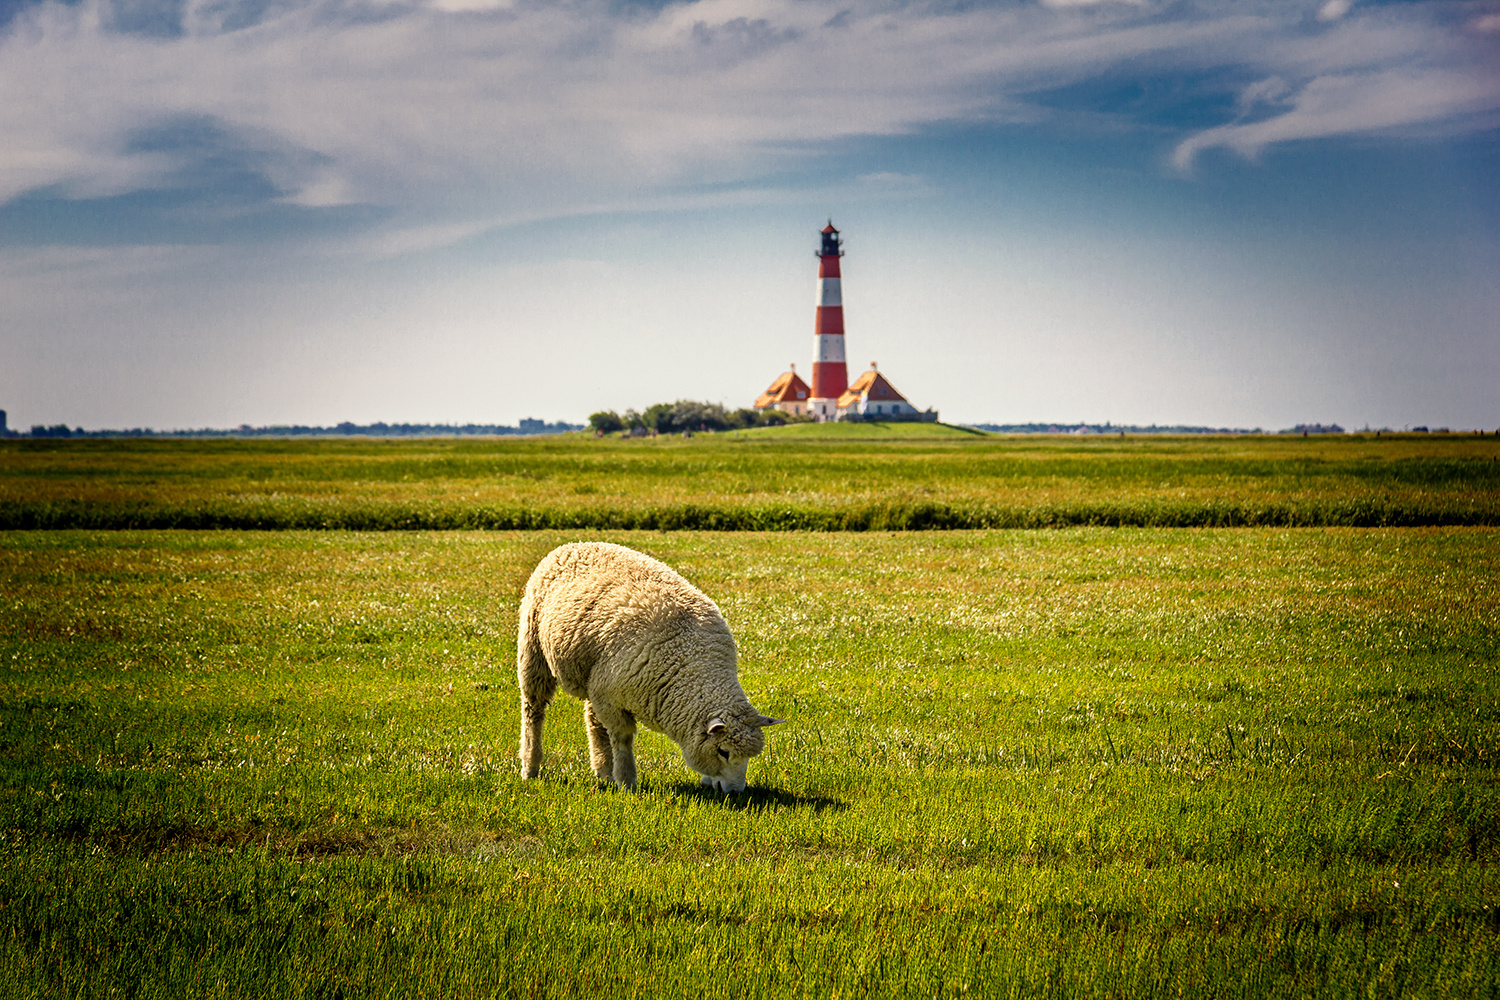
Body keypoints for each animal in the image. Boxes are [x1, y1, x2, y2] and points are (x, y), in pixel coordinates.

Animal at [519, 542, 786, 791]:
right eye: (723, 752)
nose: (736, 792)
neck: (691, 660)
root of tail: (574, 544)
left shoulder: (604, 691)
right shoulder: (612, 699)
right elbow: (623, 740)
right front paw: (627, 782)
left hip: (593, 675)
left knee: (593, 721)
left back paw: (603, 771)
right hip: (534, 652)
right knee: (534, 711)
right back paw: (530, 768)